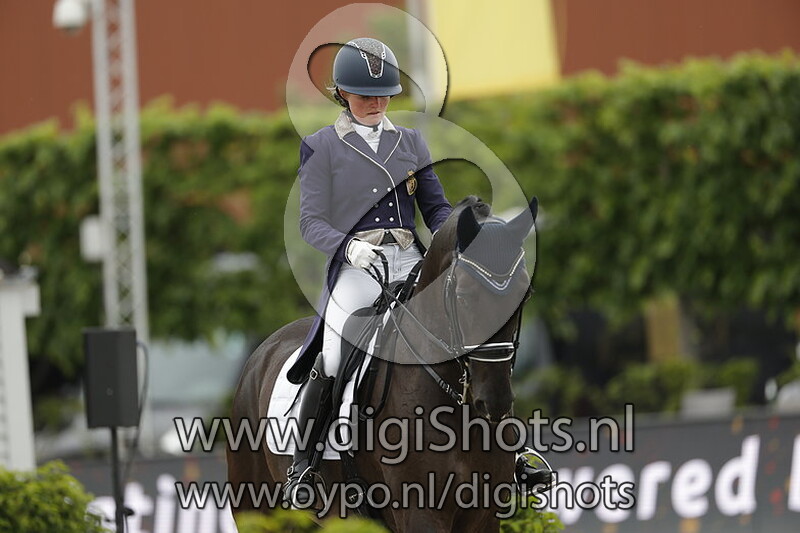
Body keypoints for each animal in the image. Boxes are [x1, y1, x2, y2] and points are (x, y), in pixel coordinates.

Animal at [227, 195, 538, 532]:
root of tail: (263, 350)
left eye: (525, 295)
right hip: (256, 508)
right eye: (464, 295)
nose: (495, 402)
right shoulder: (420, 512)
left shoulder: (484, 515)